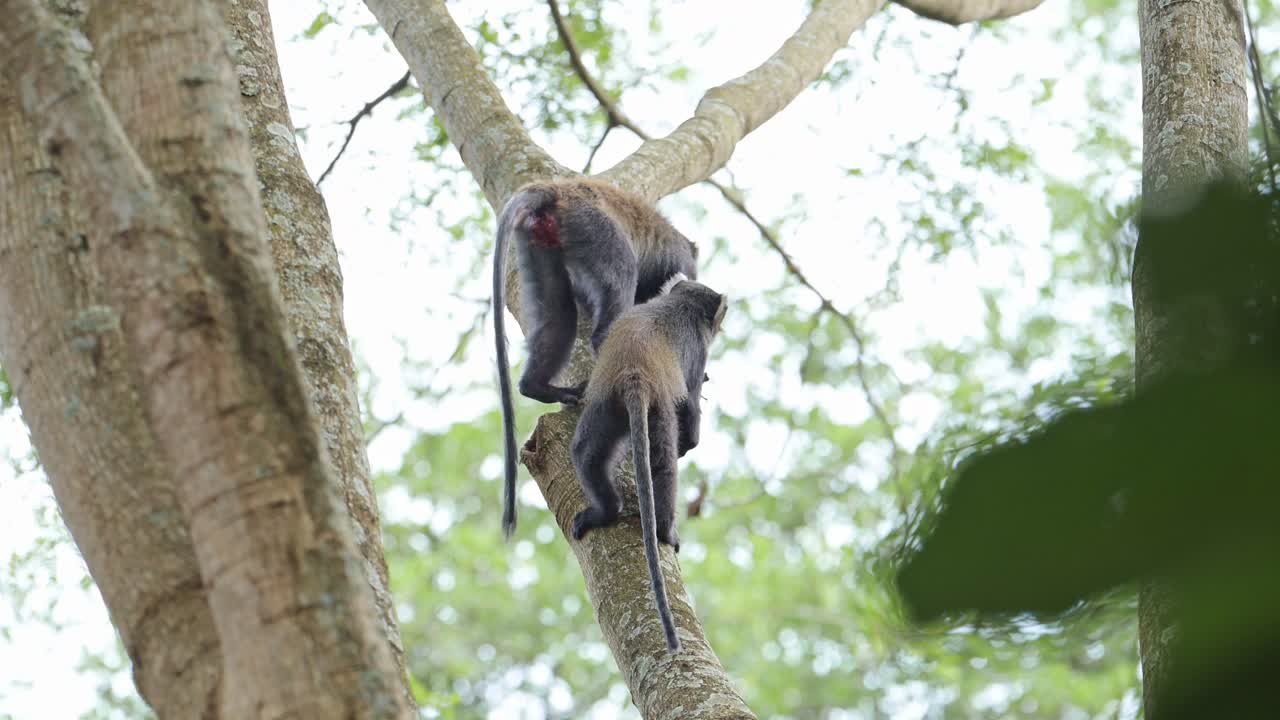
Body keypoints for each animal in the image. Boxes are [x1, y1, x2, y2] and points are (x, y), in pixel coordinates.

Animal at [495, 178, 698, 538]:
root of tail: (557, 190)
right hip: (595, 228)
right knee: (621, 278)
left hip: (539, 243)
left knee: (560, 316)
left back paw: (537, 386)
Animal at [569, 273, 727, 652]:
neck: (680, 304)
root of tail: (635, 376)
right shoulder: (699, 351)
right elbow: (692, 401)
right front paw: (691, 442)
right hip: (657, 409)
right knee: (664, 467)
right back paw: (664, 529)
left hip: (606, 405)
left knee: (585, 453)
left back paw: (607, 511)